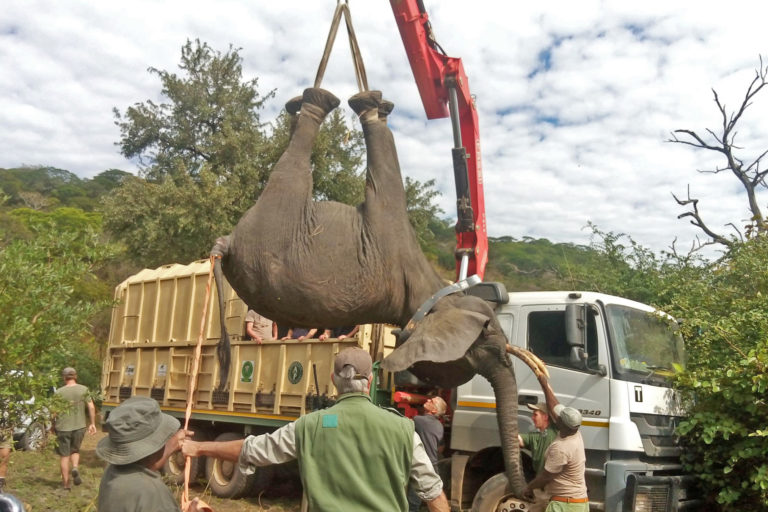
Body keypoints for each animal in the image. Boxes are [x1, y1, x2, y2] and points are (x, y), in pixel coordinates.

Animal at [210, 88, 544, 500]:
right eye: (490, 344)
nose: (527, 493)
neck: (436, 291)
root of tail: (227, 242)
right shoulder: (390, 224)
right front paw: (374, 107)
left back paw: (311, 104)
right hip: (277, 213)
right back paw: (332, 100)